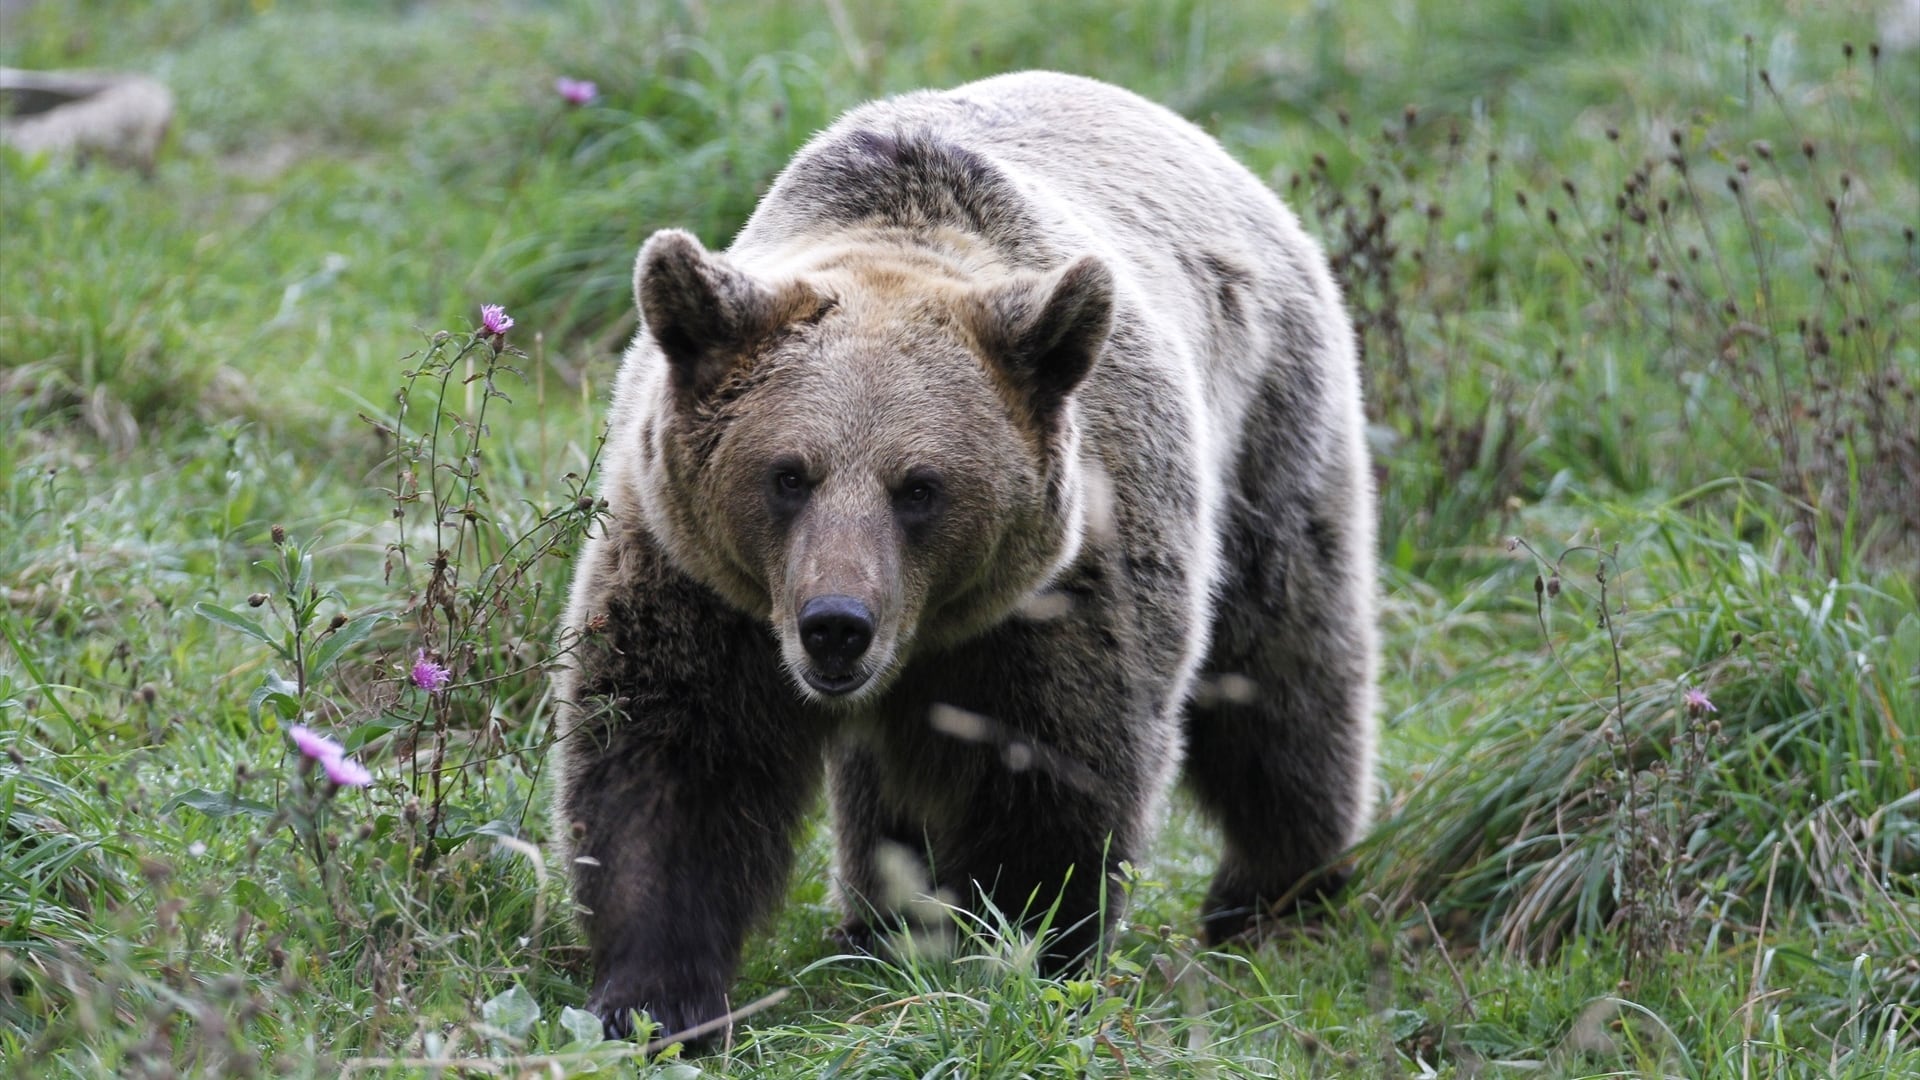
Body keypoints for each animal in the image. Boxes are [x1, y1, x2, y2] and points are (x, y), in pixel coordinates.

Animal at [550, 70, 1378, 1043]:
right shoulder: (699, 578)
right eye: (788, 474)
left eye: (920, 487)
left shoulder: (1067, 585)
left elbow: (1055, 771)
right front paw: (652, 1000)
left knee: (1283, 673)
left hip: (1270, 435)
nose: (837, 626)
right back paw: (876, 922)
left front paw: (1019, 958)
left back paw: (1276, 889)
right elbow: (672, 761)